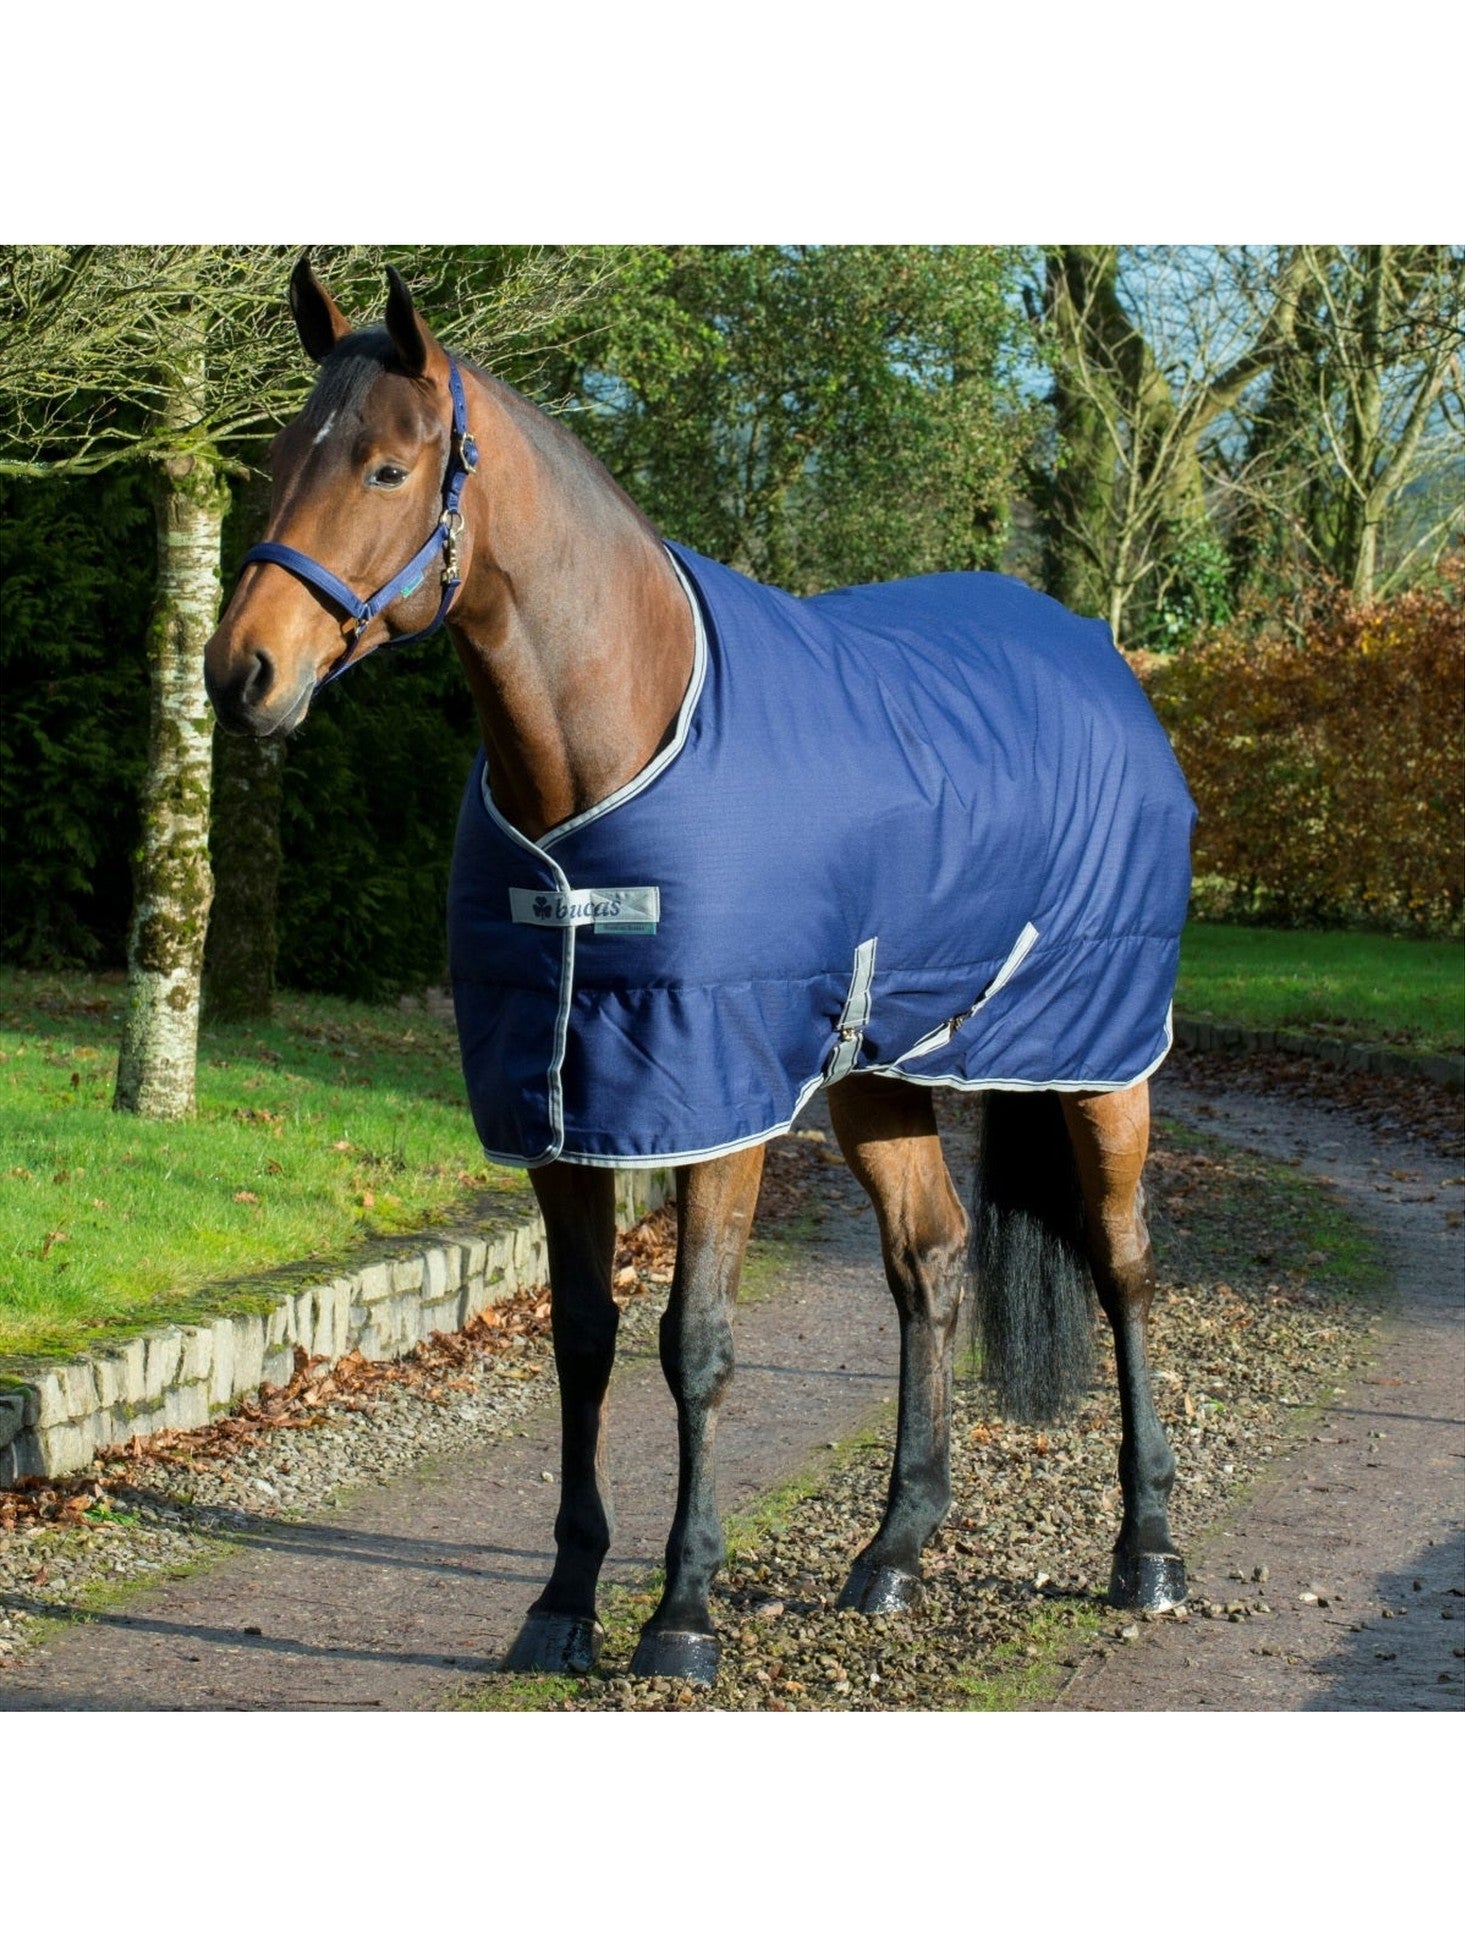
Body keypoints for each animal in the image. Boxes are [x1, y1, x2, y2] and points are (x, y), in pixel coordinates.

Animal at [204, 258, 1194, 1686]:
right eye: (280, 458)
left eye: (387, 468)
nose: (244, 673)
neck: (604, 754)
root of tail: (1100, 661)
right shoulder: (562, 1106)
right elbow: (583, 1339)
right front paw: (563, 1600)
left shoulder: (713, 1103)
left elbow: (698, 1344)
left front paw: (680, 1613)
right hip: (876, 1077)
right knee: (931, 1262)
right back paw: (894, 1551)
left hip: (1098, 1060)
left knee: (1123, 1265)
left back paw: (1147, 1548)